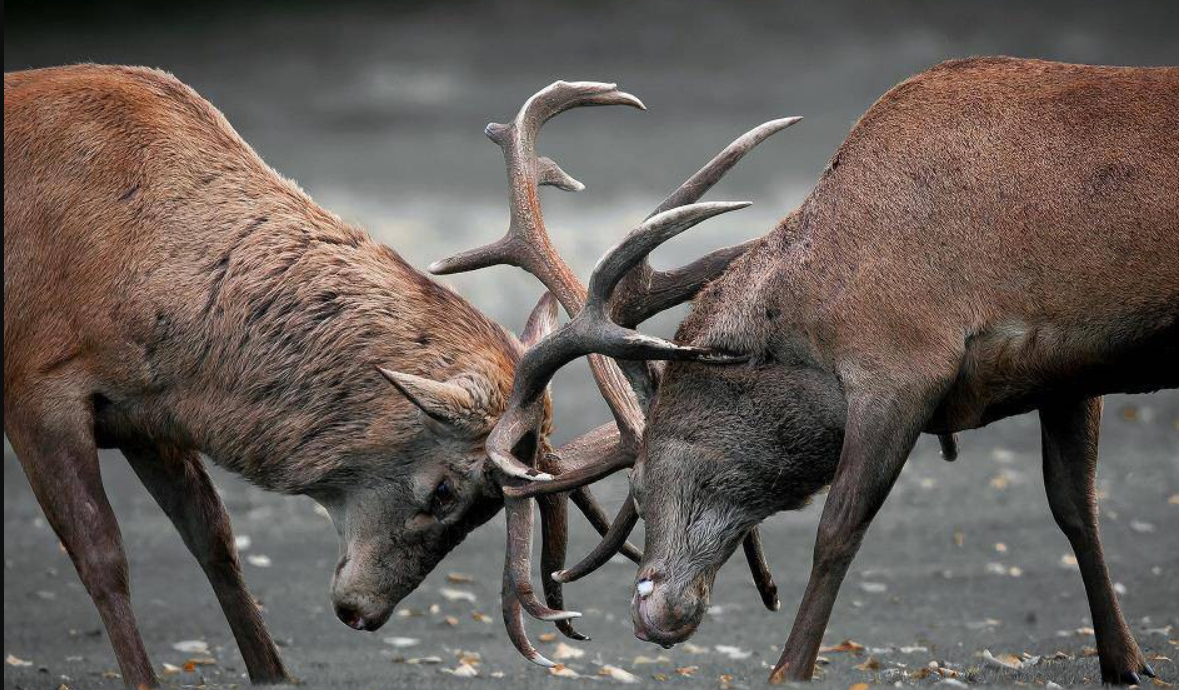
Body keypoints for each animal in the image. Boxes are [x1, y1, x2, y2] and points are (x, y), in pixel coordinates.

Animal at [6, 63, 792, 684]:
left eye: (483, 509)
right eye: (445, 491)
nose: (363, 612)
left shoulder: (147, 414)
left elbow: (216, 542)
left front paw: (274, 674)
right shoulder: (37, 385)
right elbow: (102, 556)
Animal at [438, 57, 1179, 684]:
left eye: (640, 487)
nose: (652, 613)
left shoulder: (900, 363)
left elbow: (837, 529)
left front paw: (786, 670)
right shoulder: (1069, 369)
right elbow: (1075, 508)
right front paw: (1125, 662)